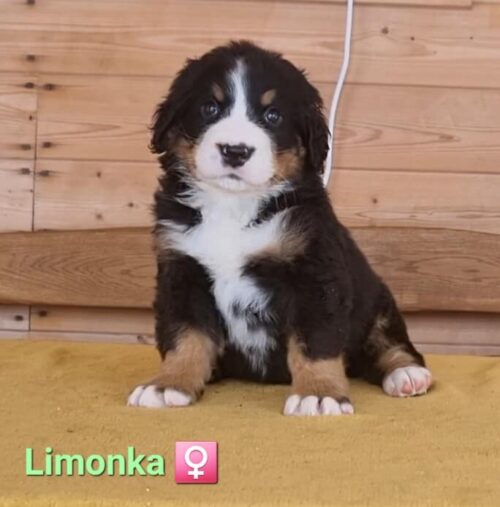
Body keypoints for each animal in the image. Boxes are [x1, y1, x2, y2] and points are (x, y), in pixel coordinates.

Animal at [127, 41, 432, 416]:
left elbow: (315, 342)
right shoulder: (182, 271)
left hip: (376, 299)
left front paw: (319, 393)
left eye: (273, 116)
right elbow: (184, 336)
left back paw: (406, 374)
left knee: (387, 341)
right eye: (210, 108)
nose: (235, 150)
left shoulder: (314, 273)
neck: (233, 207)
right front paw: (169, 384)